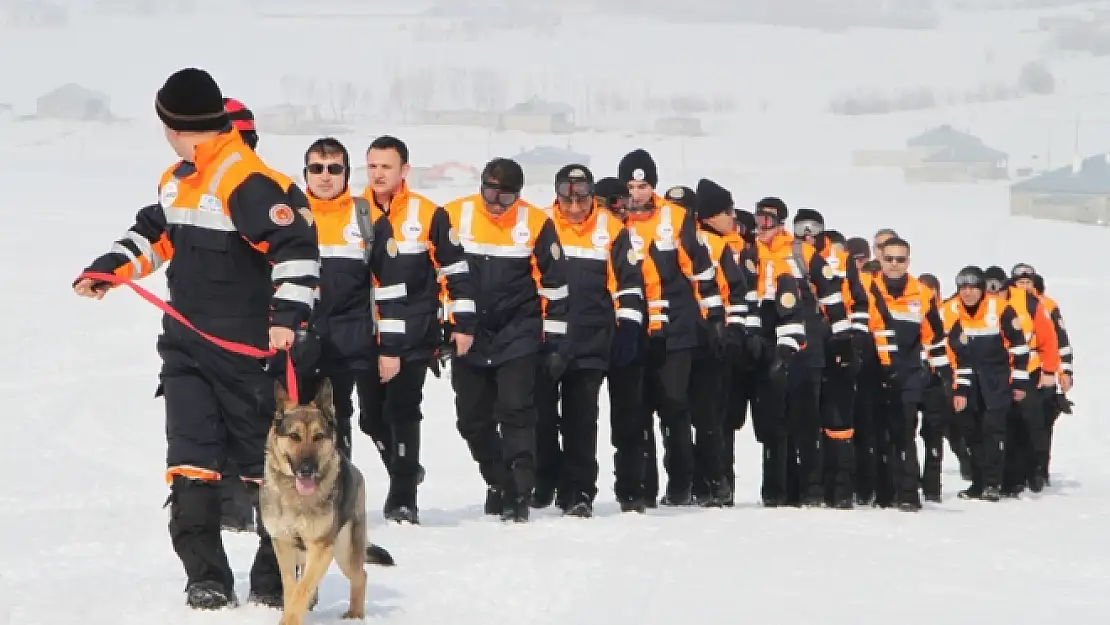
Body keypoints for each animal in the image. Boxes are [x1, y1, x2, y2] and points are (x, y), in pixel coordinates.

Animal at [259, 379, 395, 621]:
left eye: (318, 436)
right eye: (294, 436)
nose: (306, 469)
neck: (297, 497)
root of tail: (355, 470)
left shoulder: (321, 547)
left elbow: (302, 589)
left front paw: (291, 618)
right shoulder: (283, 543)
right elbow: (291, 587)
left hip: (343, 551)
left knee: (361, 576)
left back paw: (355, 615)